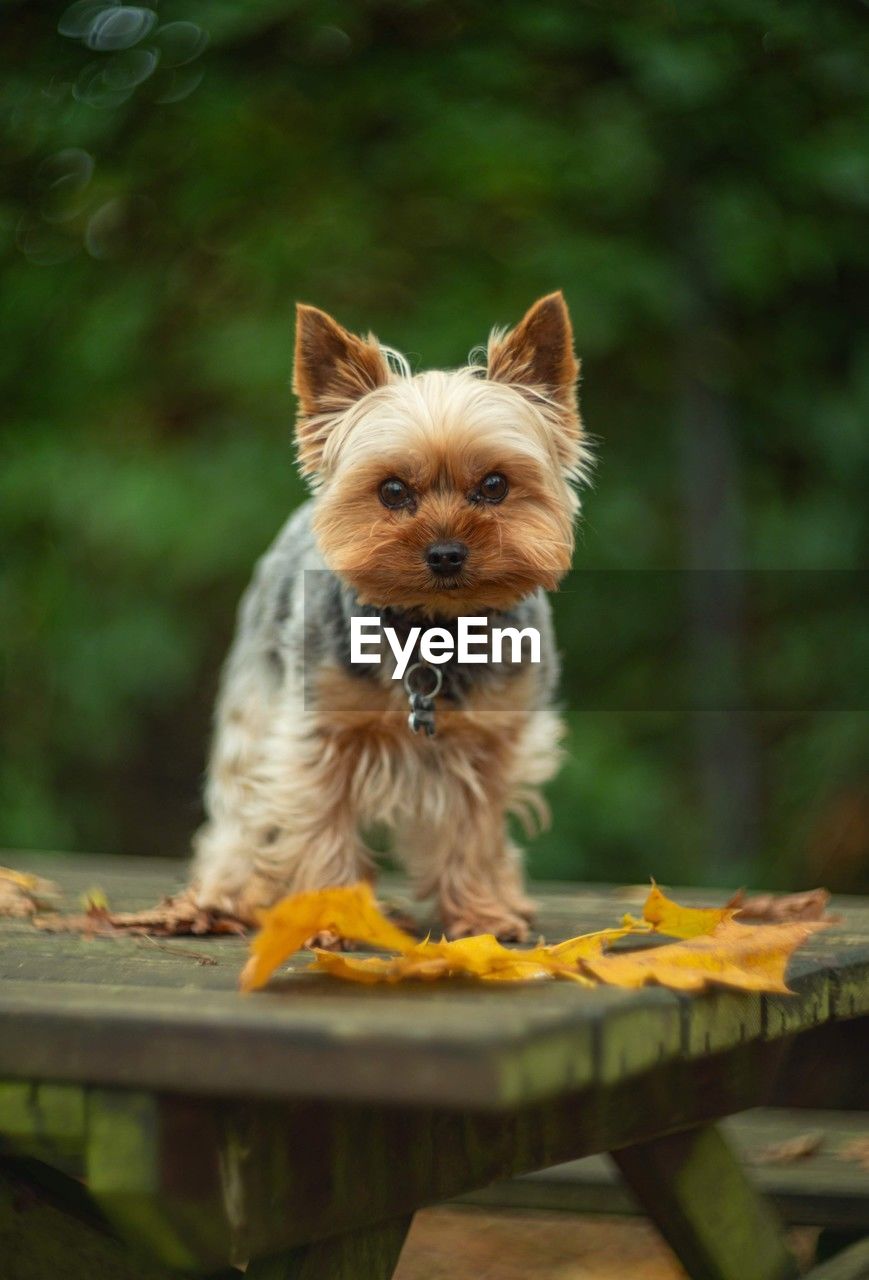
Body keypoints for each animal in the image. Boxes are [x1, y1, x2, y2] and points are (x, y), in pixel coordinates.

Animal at [188, 293, 583, 942]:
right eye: (393, 490)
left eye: (495, 484)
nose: (446, 553)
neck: (432, 626)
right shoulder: (319, 735)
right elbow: (319, 822)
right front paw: (329, 917)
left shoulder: (490, 741)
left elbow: (474, 830)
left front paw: (482, 916)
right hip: (255, 703)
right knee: (240, 808)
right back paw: (224, 895)